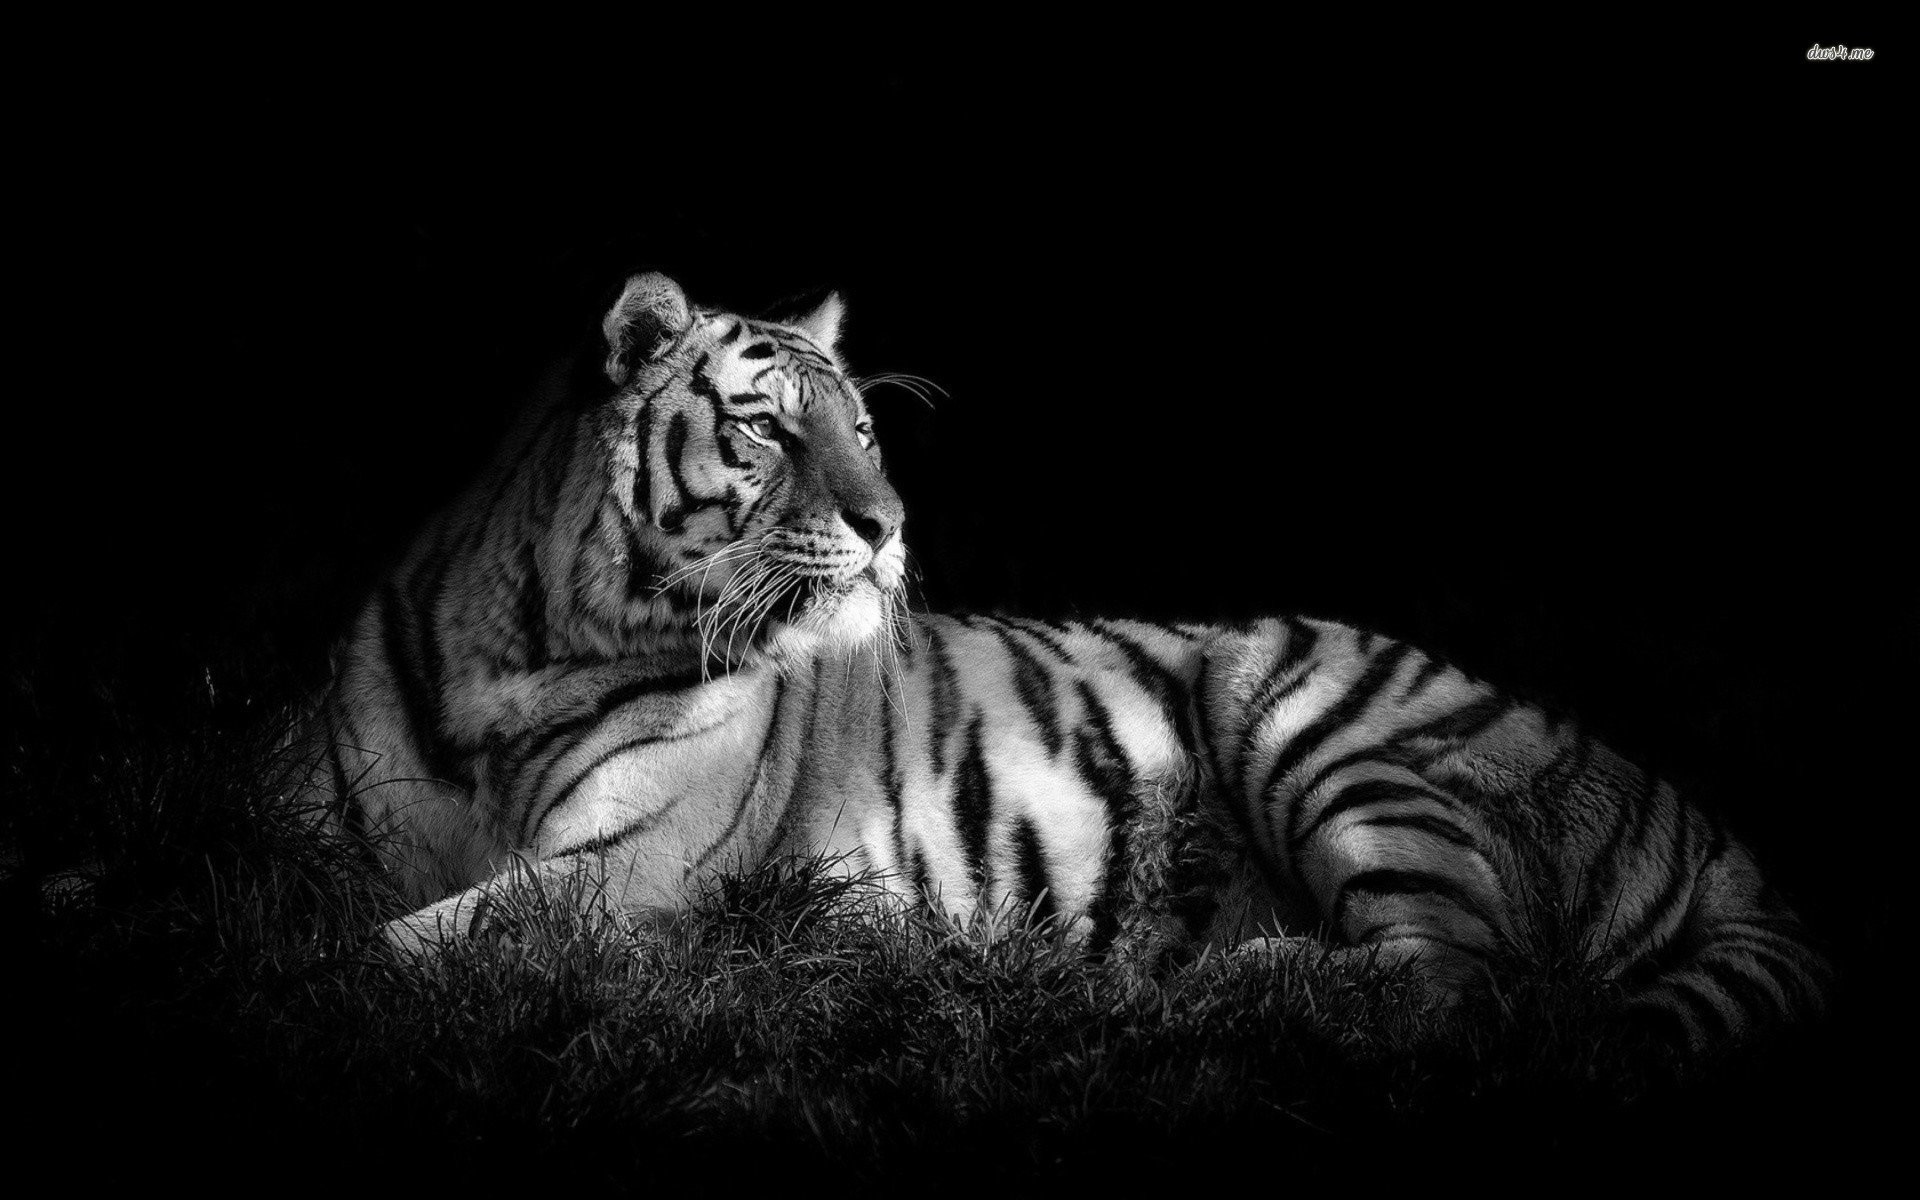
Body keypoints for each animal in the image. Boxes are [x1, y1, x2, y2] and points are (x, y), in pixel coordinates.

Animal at [306, 271, 1826, 1051]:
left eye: (866, 429)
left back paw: (1192, 995)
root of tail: (1691, 813)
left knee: (1467, 981)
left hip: (1323, 720)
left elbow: (417, 948)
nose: (891, 527)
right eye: (765, 427)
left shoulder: (634, 865)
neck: (526, 652)